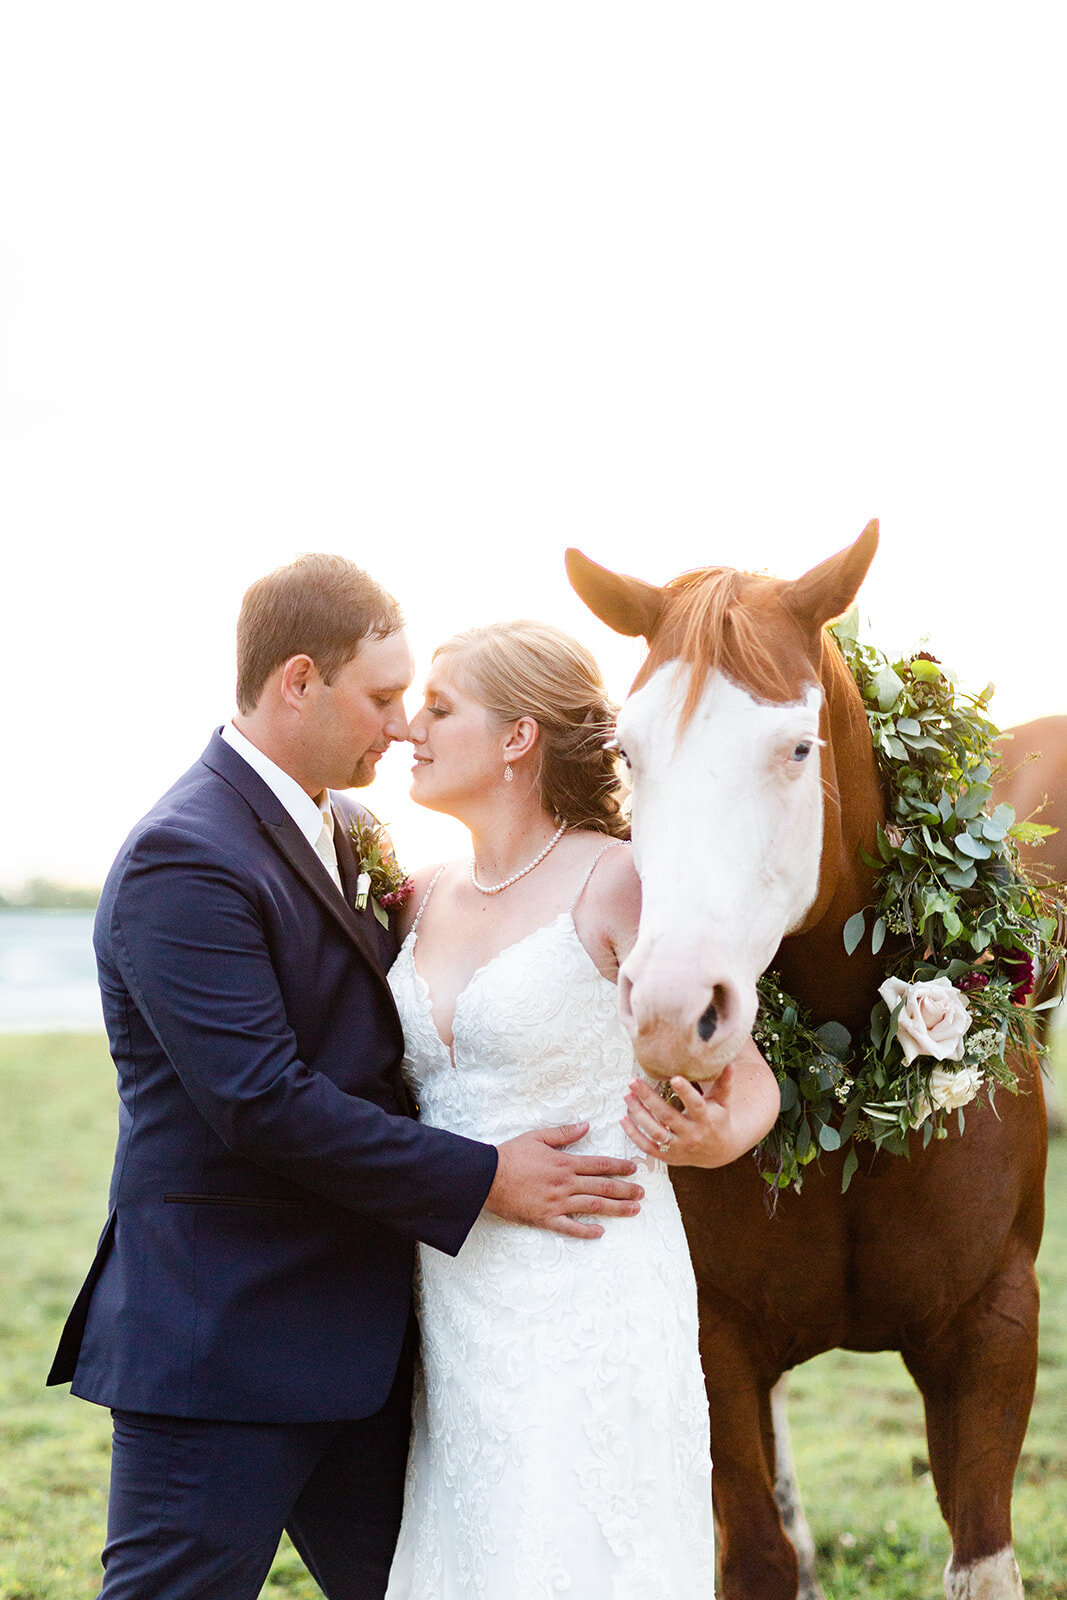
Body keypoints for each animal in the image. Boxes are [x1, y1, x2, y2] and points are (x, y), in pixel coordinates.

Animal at [572, 524, 1049, 1600]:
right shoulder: (713, 1342)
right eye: (626, 751)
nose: (672, 1015)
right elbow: (754, 1554)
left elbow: (981, 1559)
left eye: (795, 748)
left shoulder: (990, 1329)